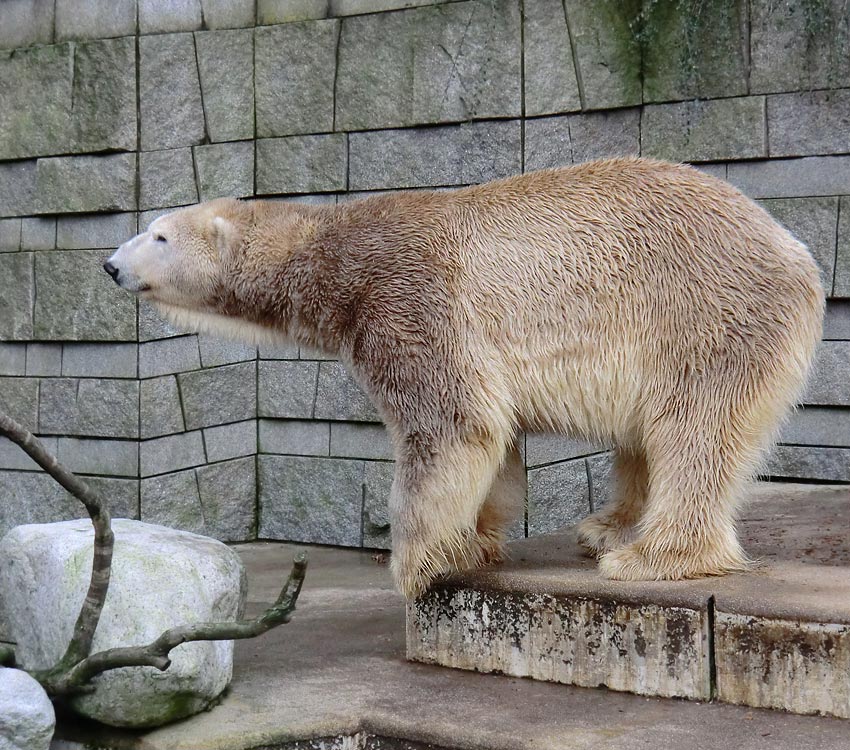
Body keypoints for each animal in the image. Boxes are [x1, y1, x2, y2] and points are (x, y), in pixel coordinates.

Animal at [104, 157, 820, 600]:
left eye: (159, 235)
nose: (110, 265)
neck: (336, 257)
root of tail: (795, 252)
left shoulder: (408, 298)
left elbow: (450, 426)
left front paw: (413, 565)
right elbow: (493, 443)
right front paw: (472, 543)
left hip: (703, 313)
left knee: (693, 429)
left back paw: (650, 555)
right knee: (647, 436)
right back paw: (609, 528)